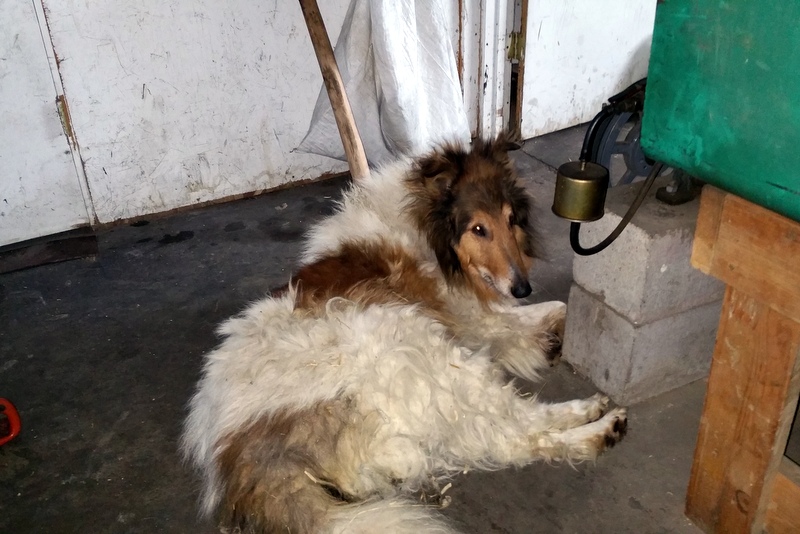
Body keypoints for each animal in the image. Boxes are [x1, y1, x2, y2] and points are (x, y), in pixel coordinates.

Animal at [181, 136, 624, 532]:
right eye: (478, 229)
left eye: (511, 220)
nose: (522, 287)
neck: (422, 229)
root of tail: (239, 453)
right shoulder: (473, 322)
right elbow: (556, 307)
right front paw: (552, 338)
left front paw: (547, 340)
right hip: (420, 351)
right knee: (514, 430)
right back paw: (598, 422)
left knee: (497, 440)